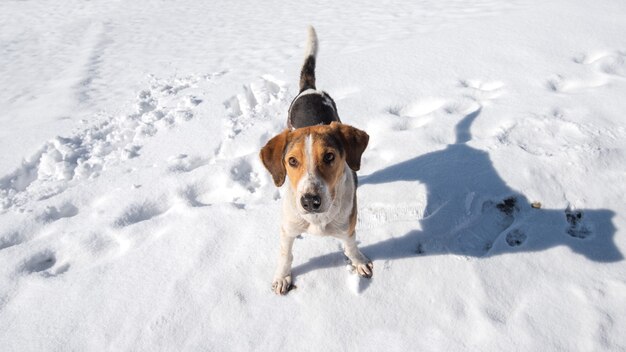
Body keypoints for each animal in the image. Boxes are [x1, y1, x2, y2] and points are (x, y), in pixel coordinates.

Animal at [258, 26, 370, 294]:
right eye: (292, 161)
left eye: (329, 156)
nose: (310, 201)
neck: (318, 220)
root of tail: (309, 88)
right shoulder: (288, 228)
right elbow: (285, 254)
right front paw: (282, 277)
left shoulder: (348, 226)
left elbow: (350, 246)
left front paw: (358, 261)